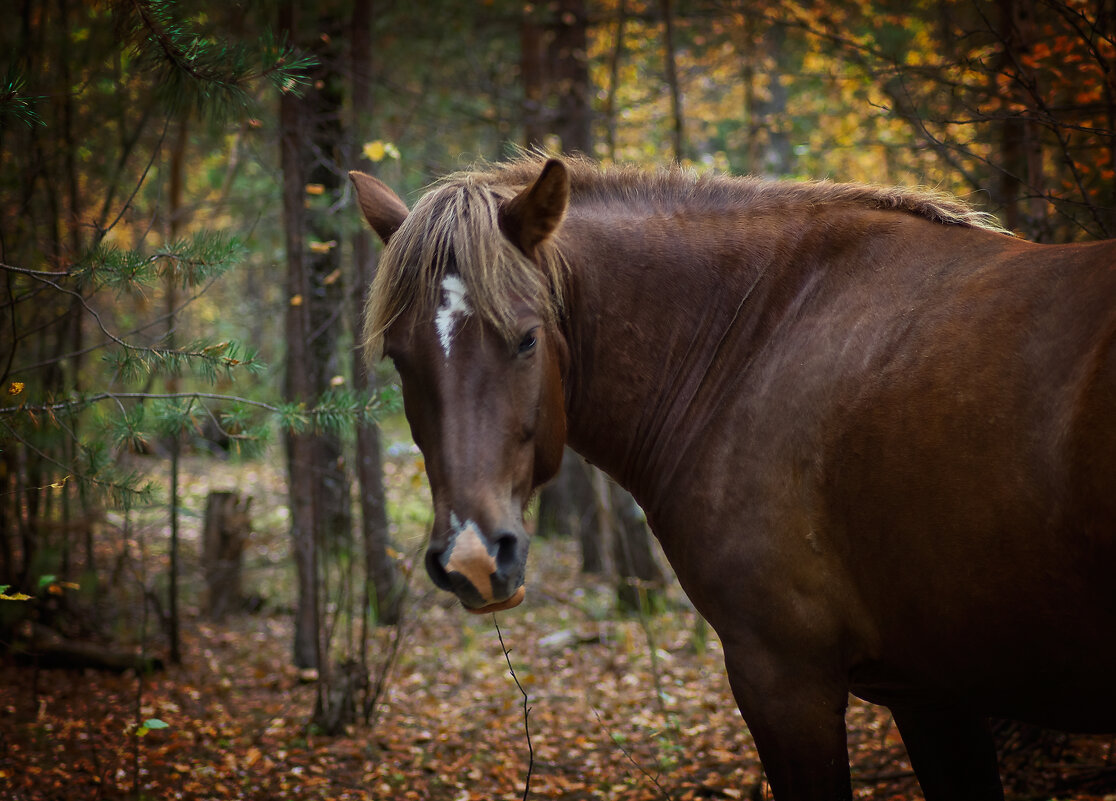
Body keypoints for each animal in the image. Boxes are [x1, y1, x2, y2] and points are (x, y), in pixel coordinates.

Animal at [348, 157, 1116, 801]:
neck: (751, 338)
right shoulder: (931, 691)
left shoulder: (784, 680)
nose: (474, 558)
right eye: (399, 358)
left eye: (527, 339)